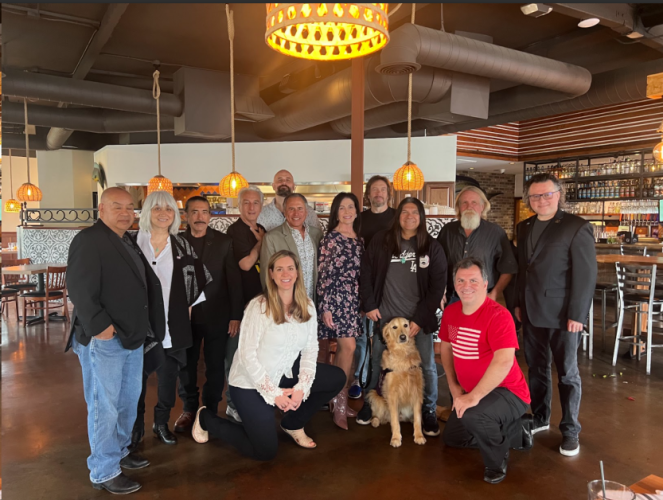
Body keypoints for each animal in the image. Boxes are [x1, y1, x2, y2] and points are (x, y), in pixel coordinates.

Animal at [368, 318, 426, 448]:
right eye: (394, 327)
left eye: (406, 325)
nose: (403, 337)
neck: (402, 352)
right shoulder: (392, 395)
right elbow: (395, 421)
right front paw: (395, 438)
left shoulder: (416, 391)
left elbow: (417, 418)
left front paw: (419, 436)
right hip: (375, 396)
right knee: (378, 415)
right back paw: (375, 421)